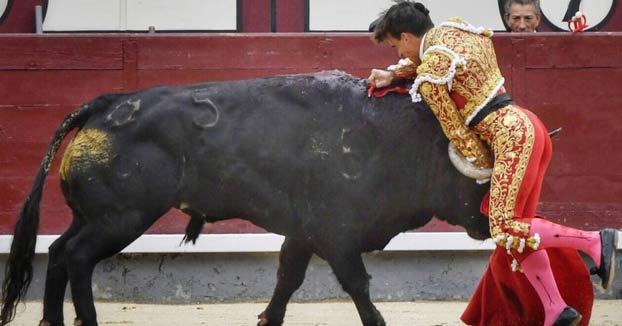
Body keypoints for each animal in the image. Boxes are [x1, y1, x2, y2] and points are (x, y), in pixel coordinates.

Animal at [2, 71, 494, 326]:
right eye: (479, 183)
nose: (490, 226)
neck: (390, 139)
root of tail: (104, 106)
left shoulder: (303, 233)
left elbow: (287, 277)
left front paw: (266, 319)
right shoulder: (335, 231)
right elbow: (357, 282)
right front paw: (377, 321)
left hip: (92, 215)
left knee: (59, 251)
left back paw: (51, 321)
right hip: (122, 218)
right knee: (79, 257)